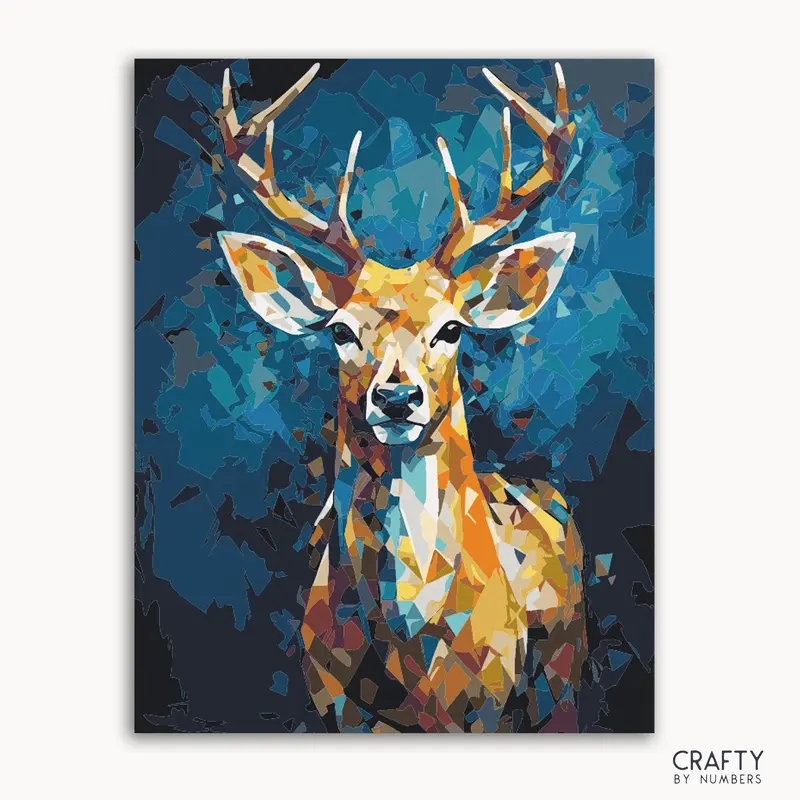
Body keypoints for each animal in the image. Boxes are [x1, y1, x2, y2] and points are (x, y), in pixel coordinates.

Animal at [215, 61, 586, 733]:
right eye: (340, 330)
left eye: (452, 328)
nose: (396, 397)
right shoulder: (331, 704)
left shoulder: (491, 702)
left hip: (566, 669)